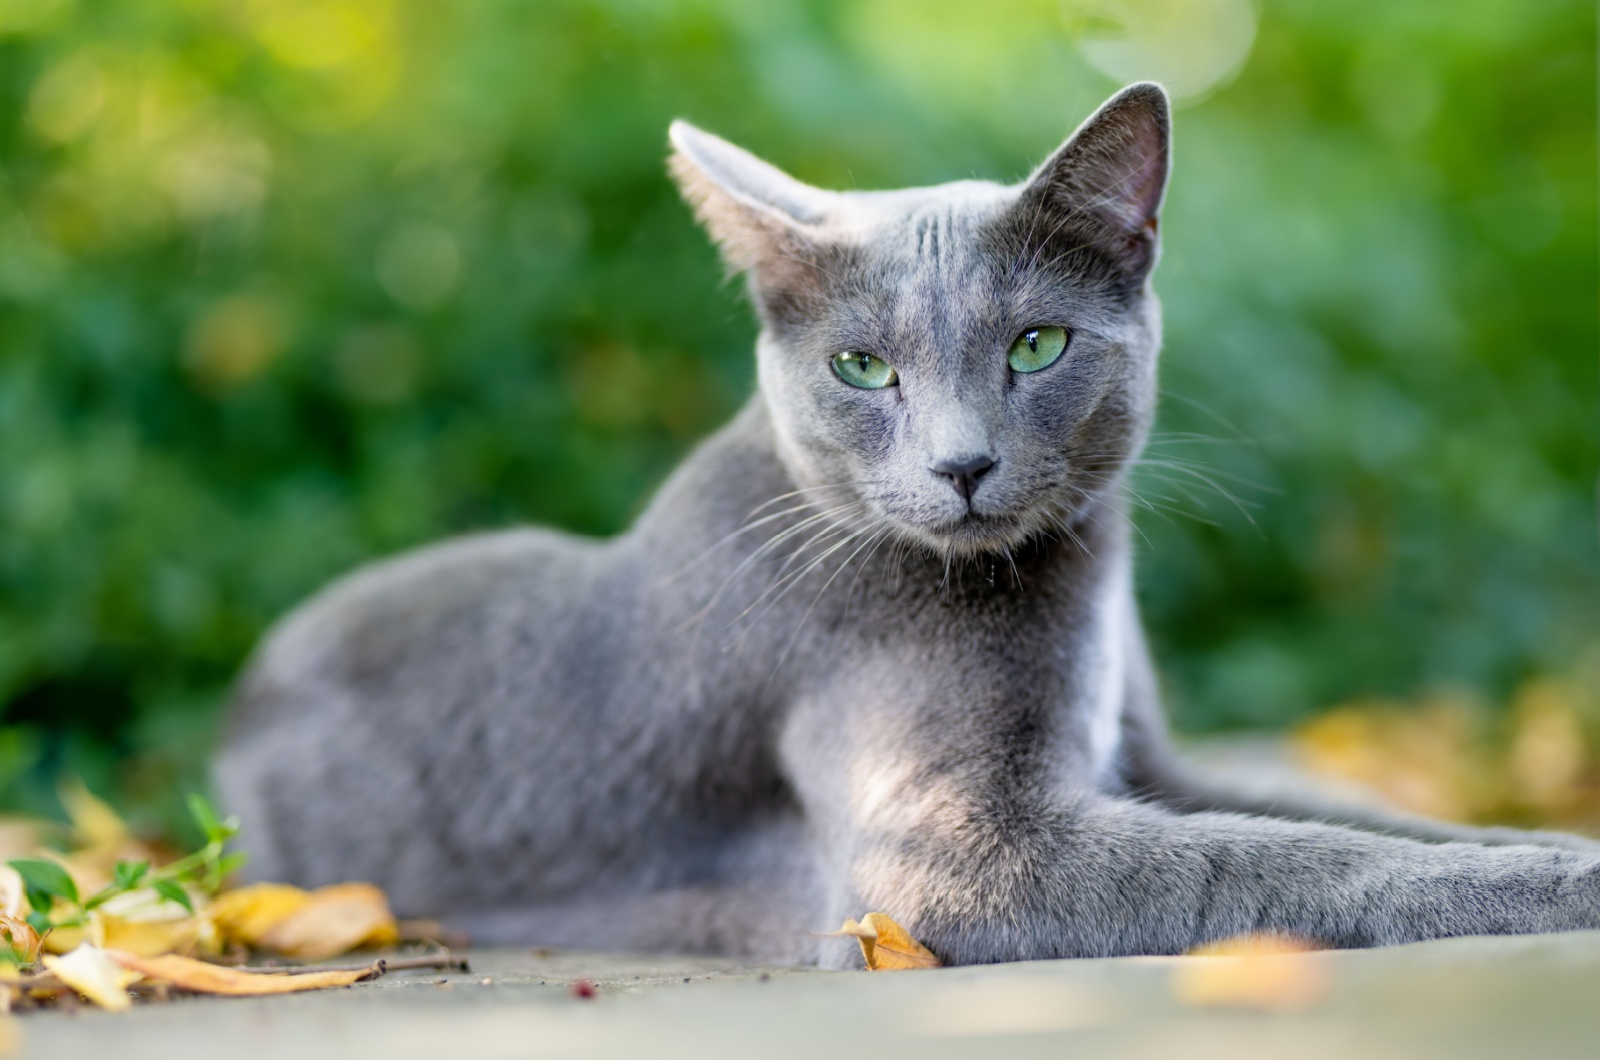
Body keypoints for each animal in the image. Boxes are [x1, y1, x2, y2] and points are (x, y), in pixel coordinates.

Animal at [219, 87, 1600, 967]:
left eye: (1036, 344)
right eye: (861, 367)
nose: (962, 462)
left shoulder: (1151, 759)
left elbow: (1357, 824)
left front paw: (1545, 840)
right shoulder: (945, 858)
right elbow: (1275, 862)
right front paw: (1567, 880)